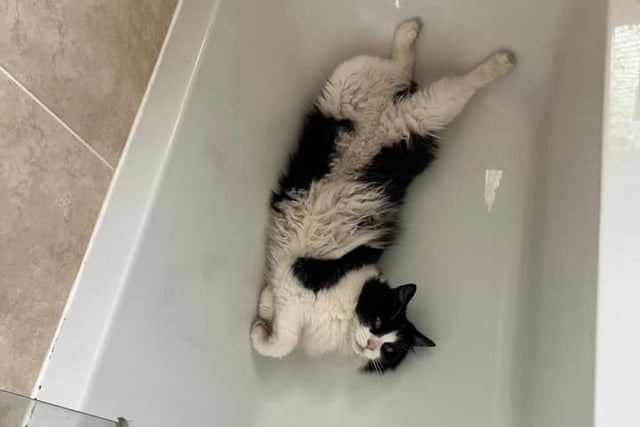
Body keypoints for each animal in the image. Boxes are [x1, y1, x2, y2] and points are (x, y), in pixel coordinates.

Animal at [250, 19, 516, 374]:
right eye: (377, 321)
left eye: (389, 350)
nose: (371, 345)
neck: (349, 307)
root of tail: (387, 115)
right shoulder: (296, 288)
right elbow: (281, 343)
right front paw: (259, 327)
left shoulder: (292, 294)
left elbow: (281, 337)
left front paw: (262, 315)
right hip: (378, 92)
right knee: (444, 81)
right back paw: (492, 58)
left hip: (382, 96)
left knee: (407, 72)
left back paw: (414, 33)